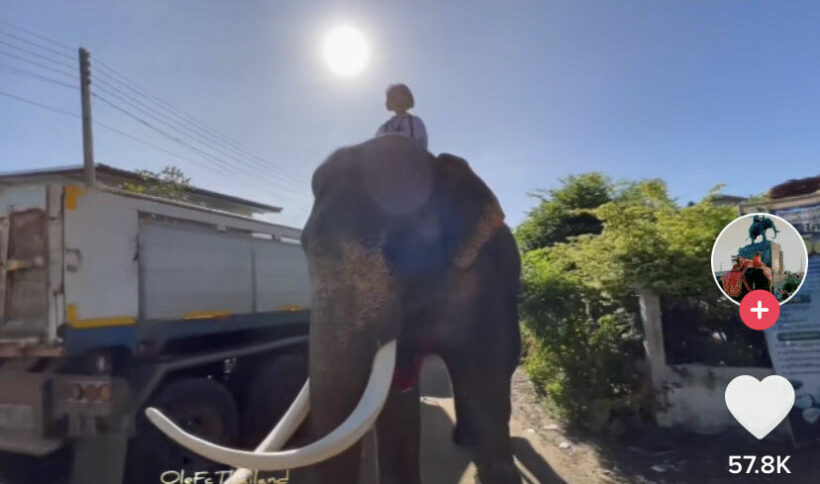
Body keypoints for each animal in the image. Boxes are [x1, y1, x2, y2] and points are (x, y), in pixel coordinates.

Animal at [144, 135, 524, 484]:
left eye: (396, 248)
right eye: (304, 247)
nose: (155, 413)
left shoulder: (484, 280)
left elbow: (486, 371)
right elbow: (394, 402)